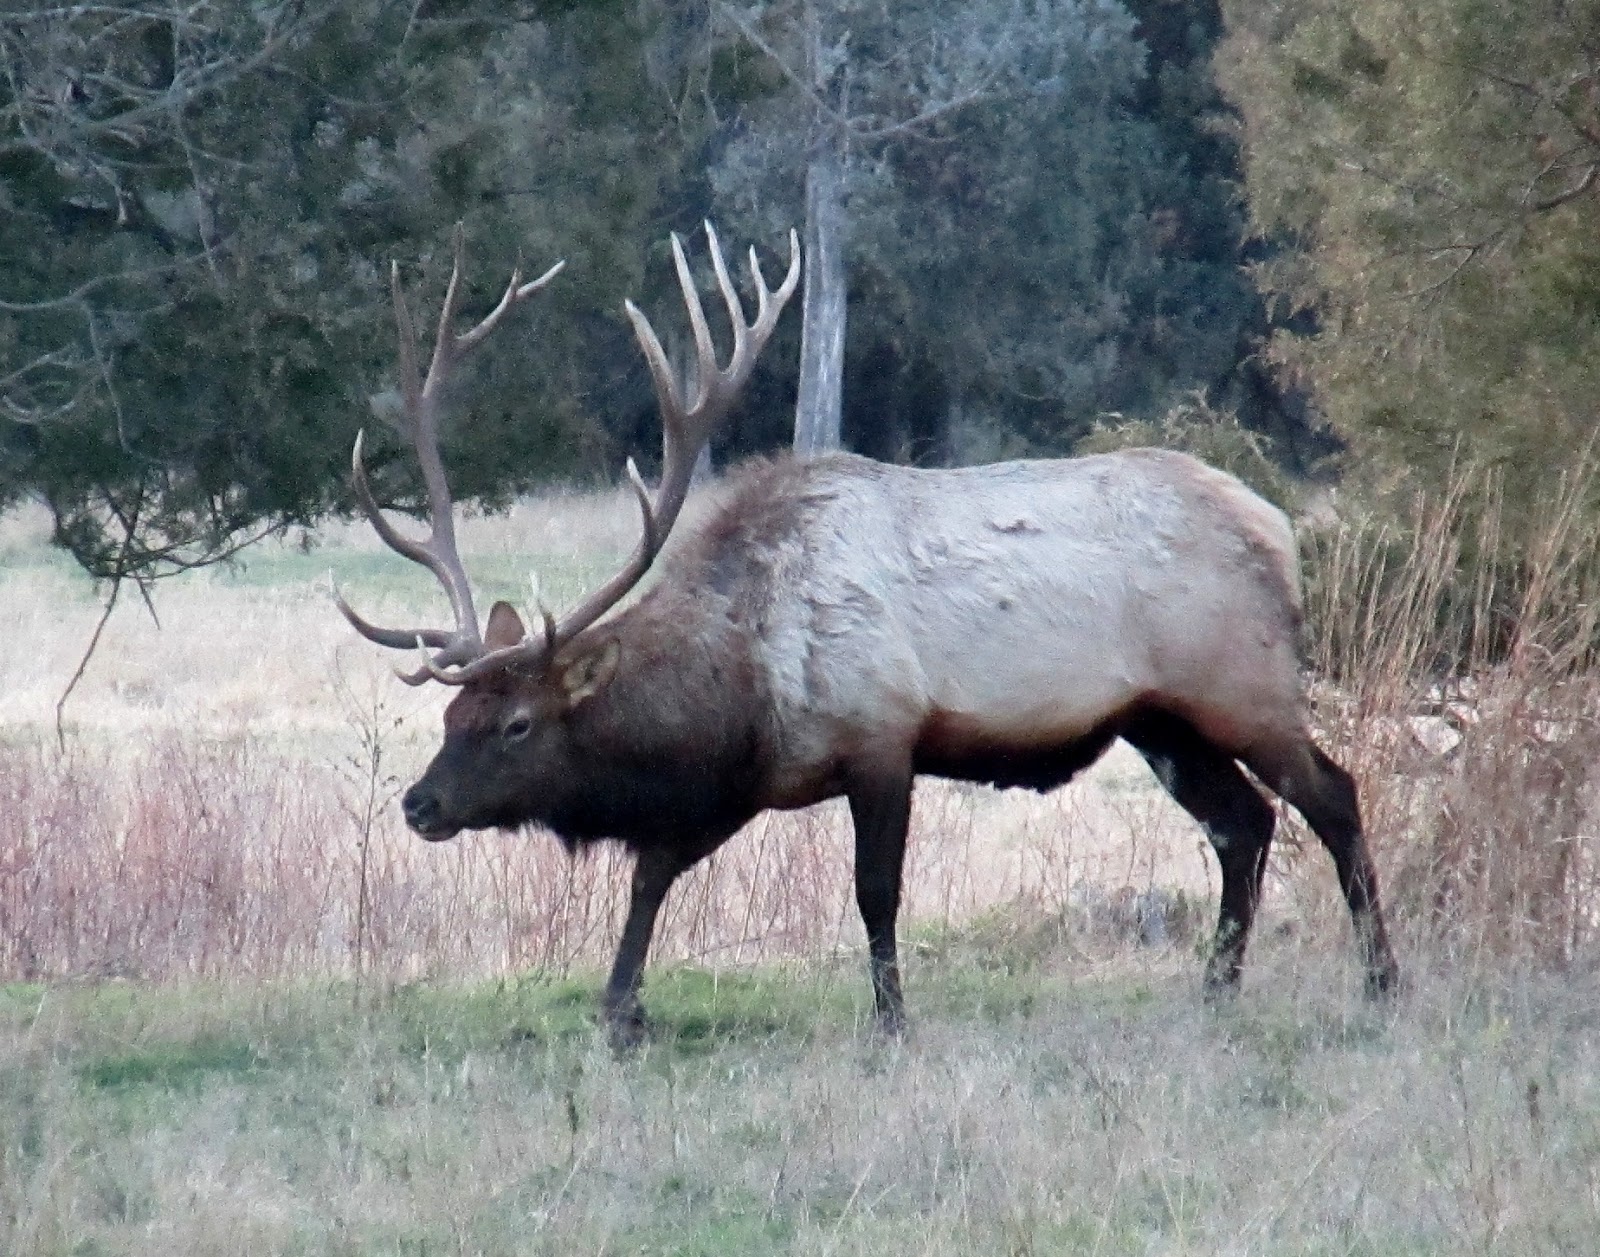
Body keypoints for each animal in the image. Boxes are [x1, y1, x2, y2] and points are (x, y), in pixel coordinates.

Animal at [337, 224, 1400, 1048]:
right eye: (451, 716)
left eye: (515, 722)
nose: (421, 804)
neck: (740, 687)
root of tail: (1280, 531)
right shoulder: (739, 783)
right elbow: (651, 874)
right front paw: (619, 1010)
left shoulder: (881, 736)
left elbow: (874, 891)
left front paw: (891, 1023)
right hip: (1160, 721)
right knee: (1243, 823)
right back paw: (1215, 991)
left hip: (1242, 686)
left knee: (1331, 796)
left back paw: (1382, 980)